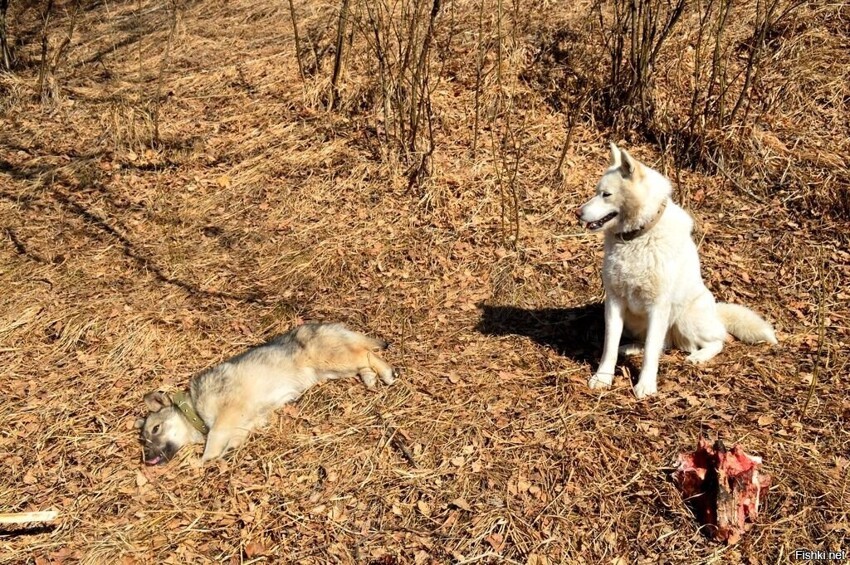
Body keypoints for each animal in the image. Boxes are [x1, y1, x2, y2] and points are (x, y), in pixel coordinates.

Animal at [136, 322, 394, 462]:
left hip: (332, 359)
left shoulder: (226, 413)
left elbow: (213, 440)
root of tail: (327, 326)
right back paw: (371, 377)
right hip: (331, 369)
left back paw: (387, 373)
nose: (147, 459)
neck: (193, 409)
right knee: (363, 359)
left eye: (155, 429)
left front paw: (203, 461)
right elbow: (233, 439)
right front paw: (227, 452)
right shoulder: (247, 422)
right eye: (144, 440)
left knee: (366, 354)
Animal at [576, 143, 776, 398]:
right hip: (637, 322)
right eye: (596, 191)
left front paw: (646, 386)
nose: (578, 213)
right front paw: (603, 378)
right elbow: (610, 346)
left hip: (685, 320)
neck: (637, 238)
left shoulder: (658, 306)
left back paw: (698, 357)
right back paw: (630, 348)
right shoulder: (614, 302)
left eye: (606, 194)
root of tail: (716, 311)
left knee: (716, 341)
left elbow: (652, 353)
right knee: (661, 343)